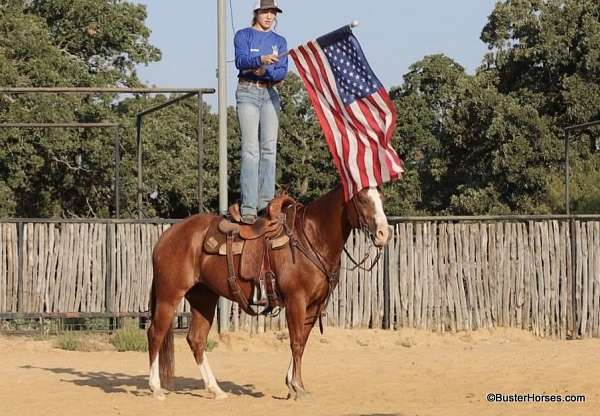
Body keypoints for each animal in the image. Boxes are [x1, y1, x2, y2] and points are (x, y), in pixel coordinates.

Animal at [145, 185, 390, 400]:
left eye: (381, 198)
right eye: (362, 199)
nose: (383, 233)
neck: (312, 236)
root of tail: (166, 236)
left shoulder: (314, 305)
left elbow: (303, 341)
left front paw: (292, 385)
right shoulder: (296, 300)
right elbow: (296, 342)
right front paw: (298, 387)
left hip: (203, 298)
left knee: (196, 339)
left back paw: (216, 390)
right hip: (169, 296)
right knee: (155, 333)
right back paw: (156, 389)